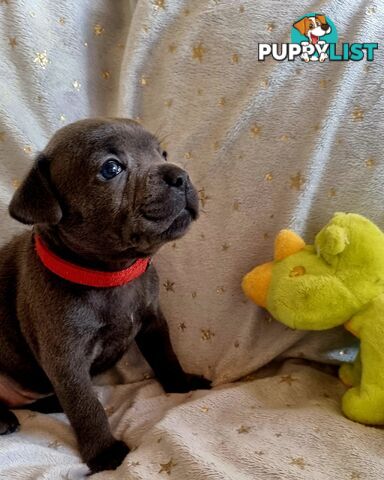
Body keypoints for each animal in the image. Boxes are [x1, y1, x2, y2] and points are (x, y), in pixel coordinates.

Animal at [0, 119, 210, 472]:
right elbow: (86, 407)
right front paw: (104, 453)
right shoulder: (66, 360)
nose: (180, 175)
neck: (110, 274)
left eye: (162, 153)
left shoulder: (154, 322)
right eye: (111, 168)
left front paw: (181, 384)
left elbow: (166, 356)